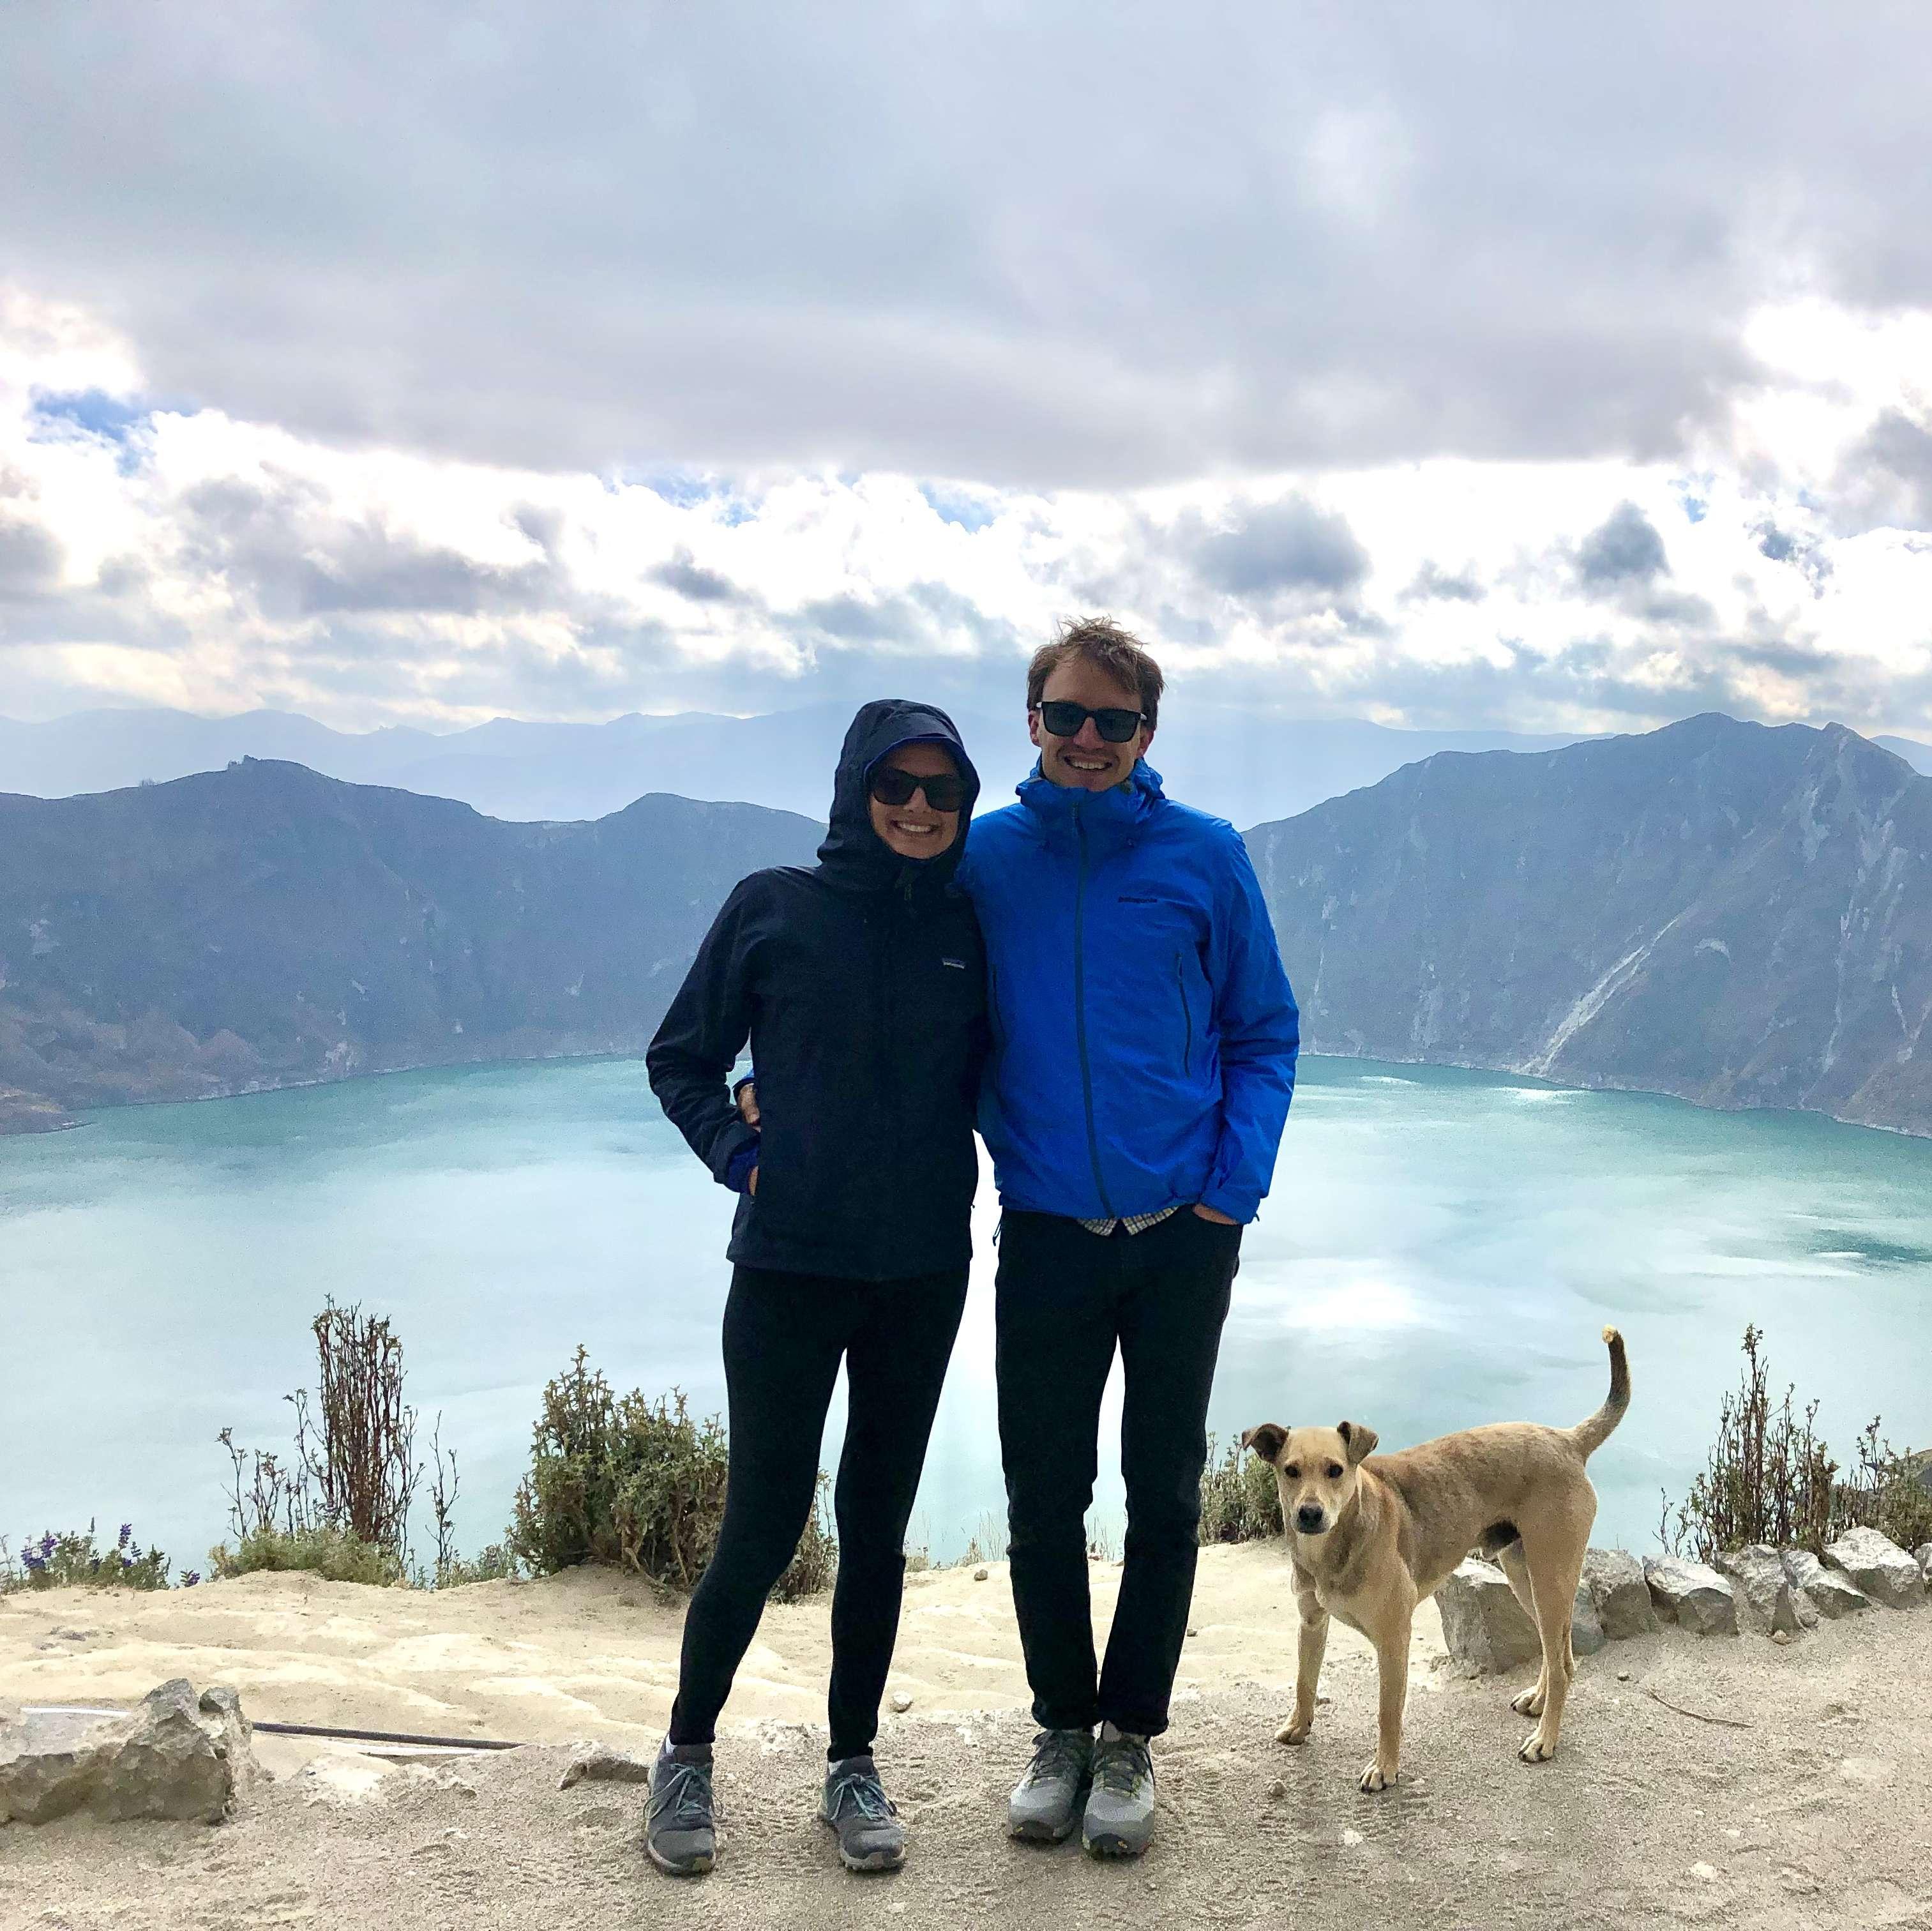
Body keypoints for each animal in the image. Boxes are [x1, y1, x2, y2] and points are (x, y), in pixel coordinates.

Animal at [1244, 1329, 1622, 1794]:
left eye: (1335, 1470)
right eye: (1291, 1471)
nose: (1310, 1514)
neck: (1339, 1540)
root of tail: (1568, 1439)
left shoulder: (1394, 1637)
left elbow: (1387, 1712)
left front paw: (1385, 1768)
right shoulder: (1311, 1622)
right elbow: (1304, 1681)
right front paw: (1299, 1727)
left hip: (1550, 1579)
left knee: (1562, 1664)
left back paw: (1545, 1741)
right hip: (1526, 1579)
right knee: (1559, 1658)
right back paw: (1538, 1700)